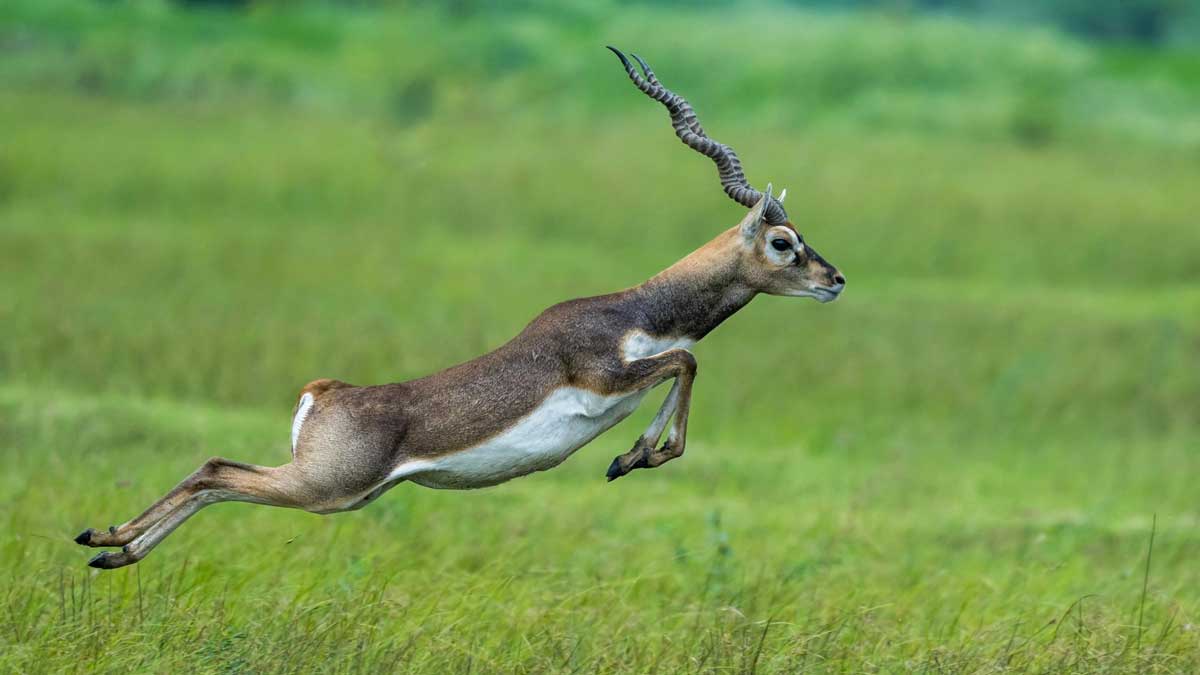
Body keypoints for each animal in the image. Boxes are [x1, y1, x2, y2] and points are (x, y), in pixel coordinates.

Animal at [75, 44, 844, 564]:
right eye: (783, 242)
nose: (834, 278)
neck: (639, 310)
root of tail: (324, 391)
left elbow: (681, 368)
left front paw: (629, 458)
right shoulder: (605, 373)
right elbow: (686, 364)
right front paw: (636, 457)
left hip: (339, 491)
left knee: (214, 477)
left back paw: (111, 548)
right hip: (326, 487)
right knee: (215, 469)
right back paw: (108, 537)